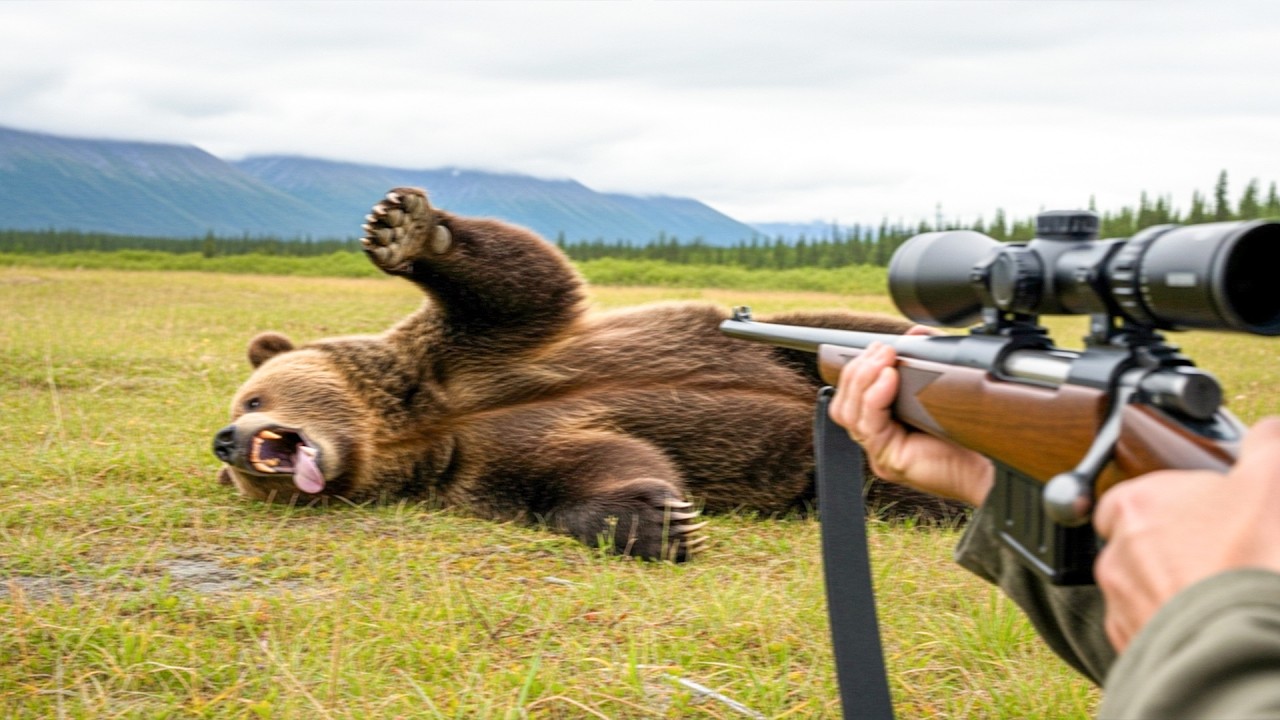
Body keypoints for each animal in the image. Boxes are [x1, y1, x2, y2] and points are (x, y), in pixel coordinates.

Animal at [212, 187, 962, 561]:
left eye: (251, 396)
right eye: (233, 476)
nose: (226, 441)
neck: (411, 424)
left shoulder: (472, 355)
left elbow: (524, 281)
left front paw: (405, 228)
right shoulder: (479, 466)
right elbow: (591, 465)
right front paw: (662, 520)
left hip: (797, 345)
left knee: (849, 330)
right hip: (832, 477)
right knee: (906, 495)